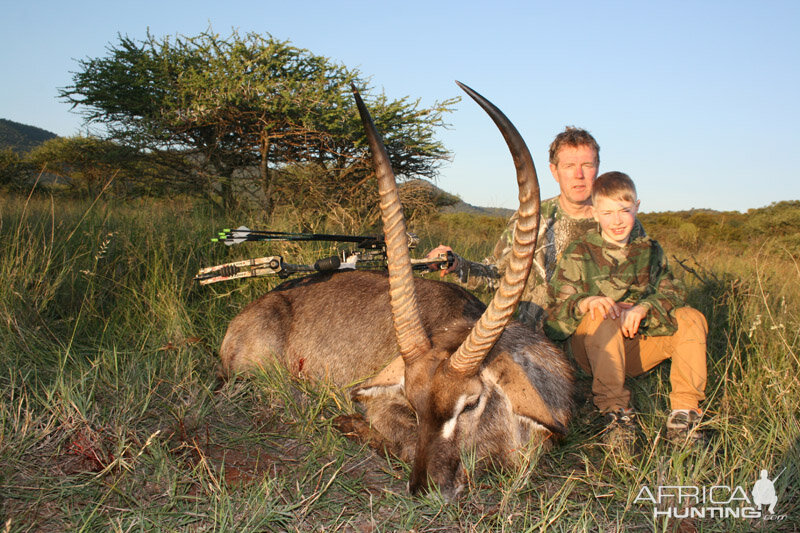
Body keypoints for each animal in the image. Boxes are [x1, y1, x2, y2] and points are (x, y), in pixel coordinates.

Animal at [217, 80, 568, 498]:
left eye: (471, 404)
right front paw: (347, 423)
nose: (425, 488)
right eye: (414, 406)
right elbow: (400, 441)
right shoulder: (384, 407)